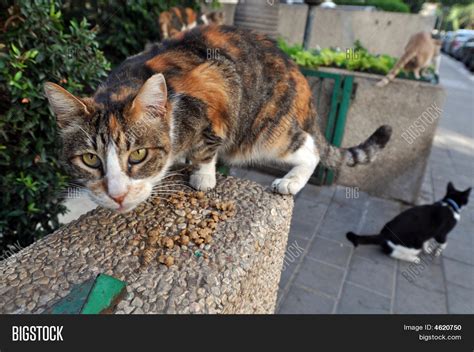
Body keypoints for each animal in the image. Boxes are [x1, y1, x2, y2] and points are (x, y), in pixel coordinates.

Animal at [44, 25, 392, 212]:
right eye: (90, 159)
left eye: (139, 154)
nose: (117, 195)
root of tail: (299, 75)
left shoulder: (216, 84)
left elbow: (206, 148)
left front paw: (203, 175)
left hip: (266, 131)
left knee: (310, 149)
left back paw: (292, 180)